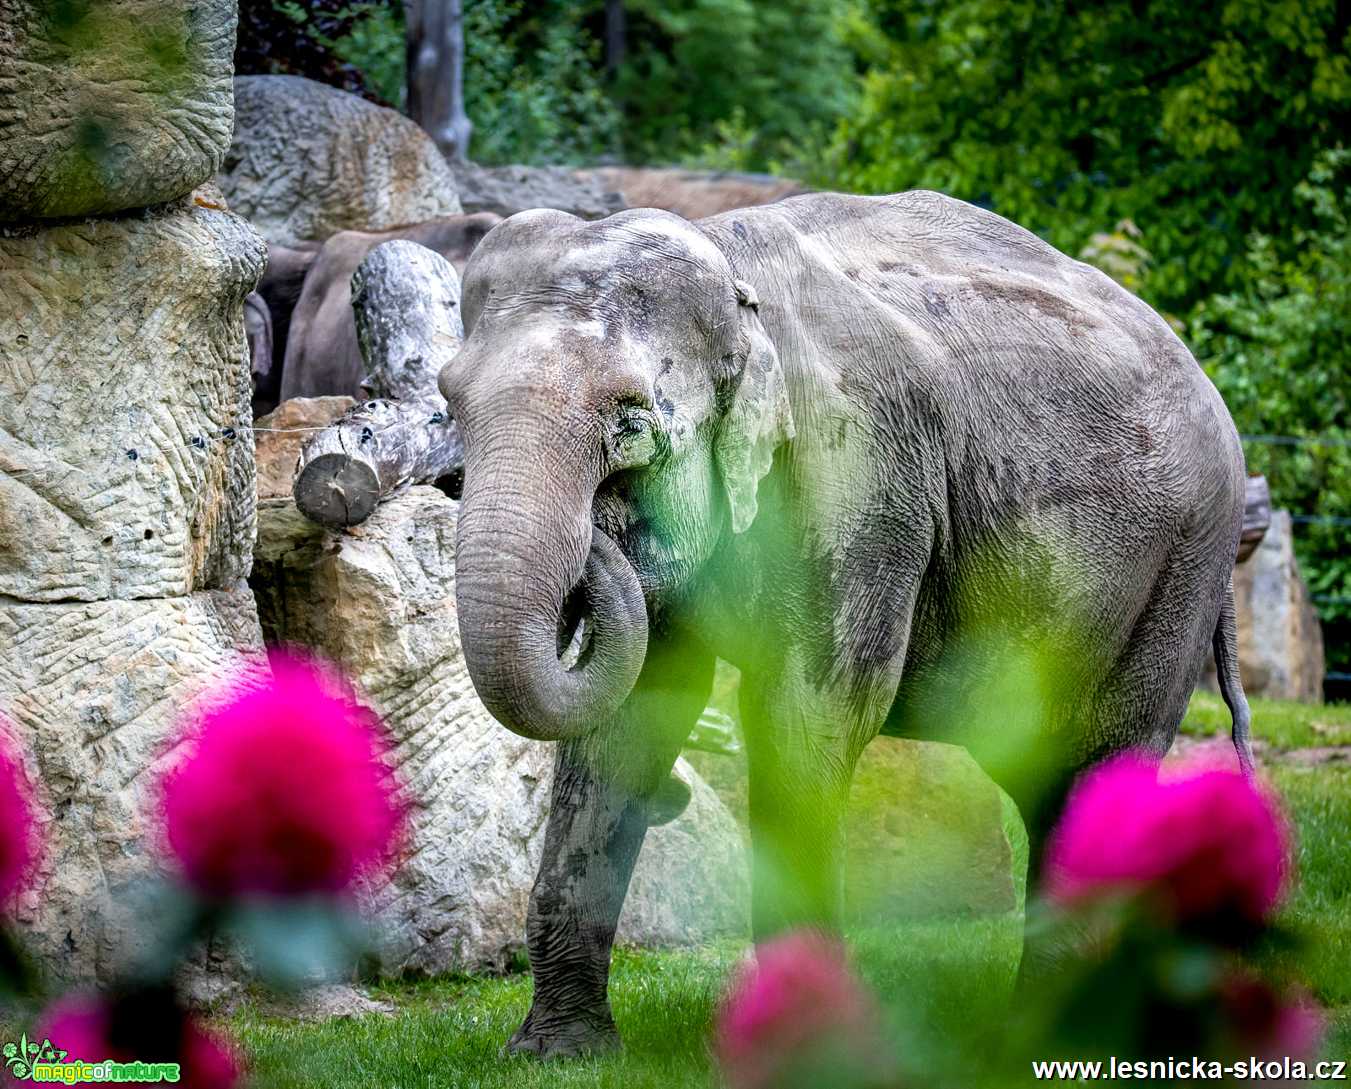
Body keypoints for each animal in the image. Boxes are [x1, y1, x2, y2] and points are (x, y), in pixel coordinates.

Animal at [437, 191, 1248, 1059]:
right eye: (452, 402)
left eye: (630, 421)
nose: (595, 542)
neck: (730, 265)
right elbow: (630, 720)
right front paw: (560, 1053)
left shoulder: (860, 481)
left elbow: (807, 714)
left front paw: (802, 1044)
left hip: (1179, 569)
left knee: (1099, 765)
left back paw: (1051, 1039)